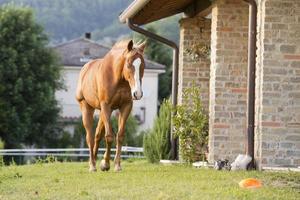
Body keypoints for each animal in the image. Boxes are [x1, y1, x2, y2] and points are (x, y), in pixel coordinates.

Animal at [75, 39, 145, 172]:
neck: (117, 78)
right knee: (90, 137)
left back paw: (93, 161)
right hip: (87, 108)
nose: (137, 93)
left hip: (103, 111)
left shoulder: (125, 106)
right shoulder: (106, 106)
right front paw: (106, 164)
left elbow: (120, 136)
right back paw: (92, 165)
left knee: (97, 135)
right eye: (129, 64)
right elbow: (109, 136)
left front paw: (117, 165)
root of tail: (84, 69)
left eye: (142, 64)